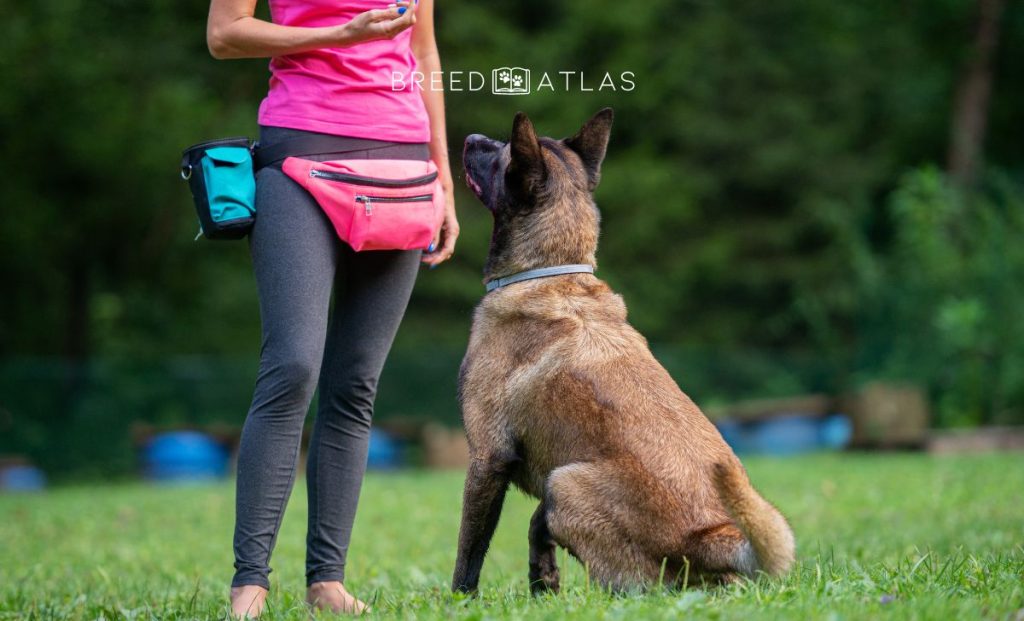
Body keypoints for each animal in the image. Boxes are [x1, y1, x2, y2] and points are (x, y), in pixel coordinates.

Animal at [456, 109, 798, 594]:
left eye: (501, 151)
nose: (469, 137)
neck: (550, 272)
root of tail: (710, 537)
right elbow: (535, 530)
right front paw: (543, 584)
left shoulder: (487, 459)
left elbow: (469, 553)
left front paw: (458, 601)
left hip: (566, 482)